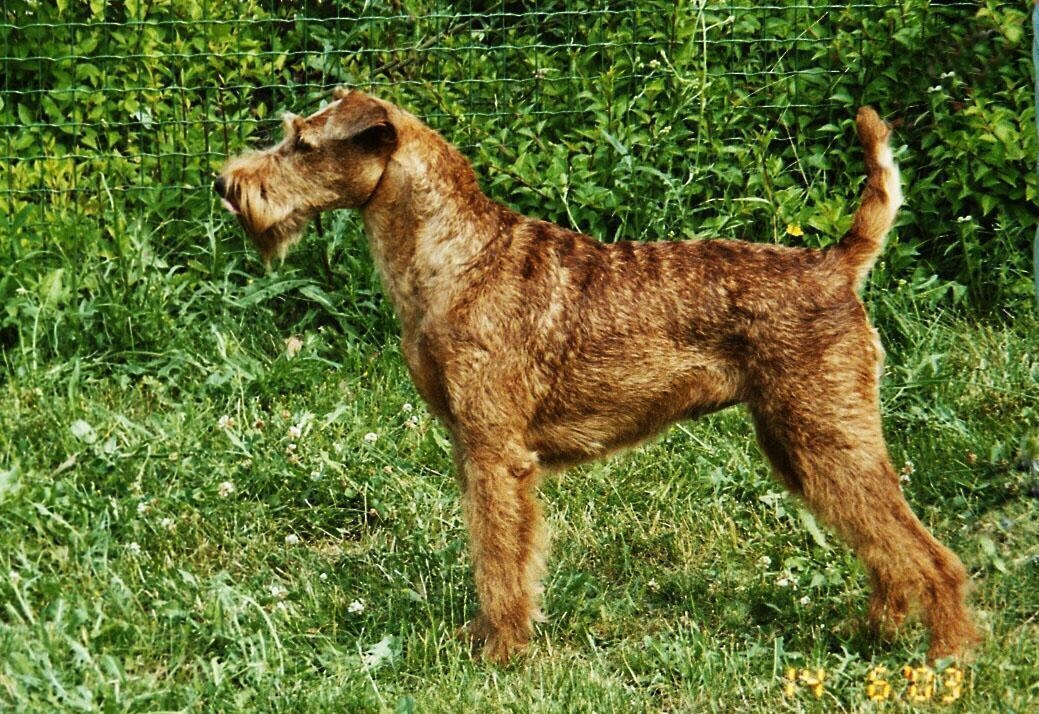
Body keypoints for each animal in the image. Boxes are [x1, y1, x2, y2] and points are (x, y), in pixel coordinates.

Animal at [215, 89, 976, 665]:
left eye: (302, 144)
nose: (227, 185)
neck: (456, 257)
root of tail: (836, 263)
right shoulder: (471, 448)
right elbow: (495, 554)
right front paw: (482, 639)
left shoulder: (498, 454)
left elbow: (501, 561)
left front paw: (501, 654)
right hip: (802, 444)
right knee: (885, 548)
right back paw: (873, 632)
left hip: (825, 433)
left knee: (929, 554)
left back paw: (946, 656)